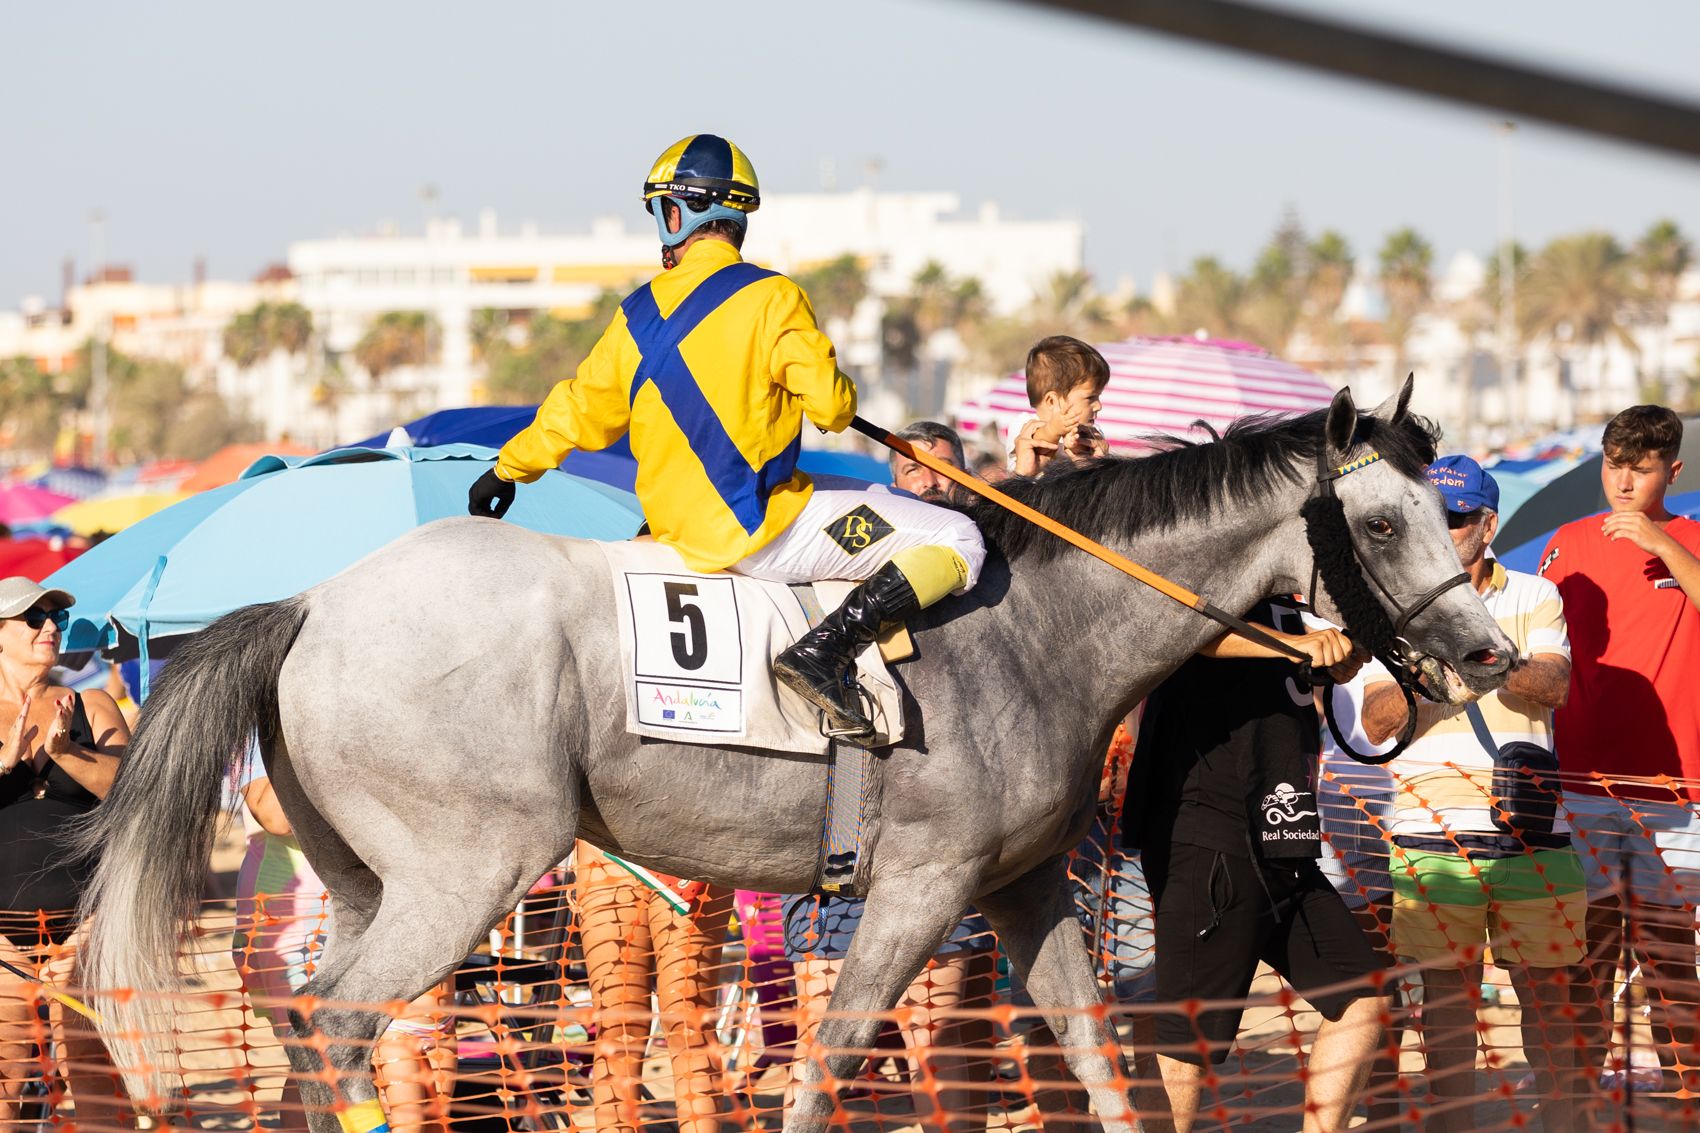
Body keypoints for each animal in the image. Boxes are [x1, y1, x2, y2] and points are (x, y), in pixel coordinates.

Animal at [72, 381, 1515, 1133]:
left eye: (1434, 508)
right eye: (1380, 523)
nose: (1490, 651)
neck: (1035, 627)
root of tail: (312, 601)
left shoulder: (1020, 890)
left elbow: (1098, 1051)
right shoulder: (917, 893)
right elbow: (829, 1058)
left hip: (370, 878)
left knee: (316, 1023)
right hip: (467, 871)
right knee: (336, 1018)